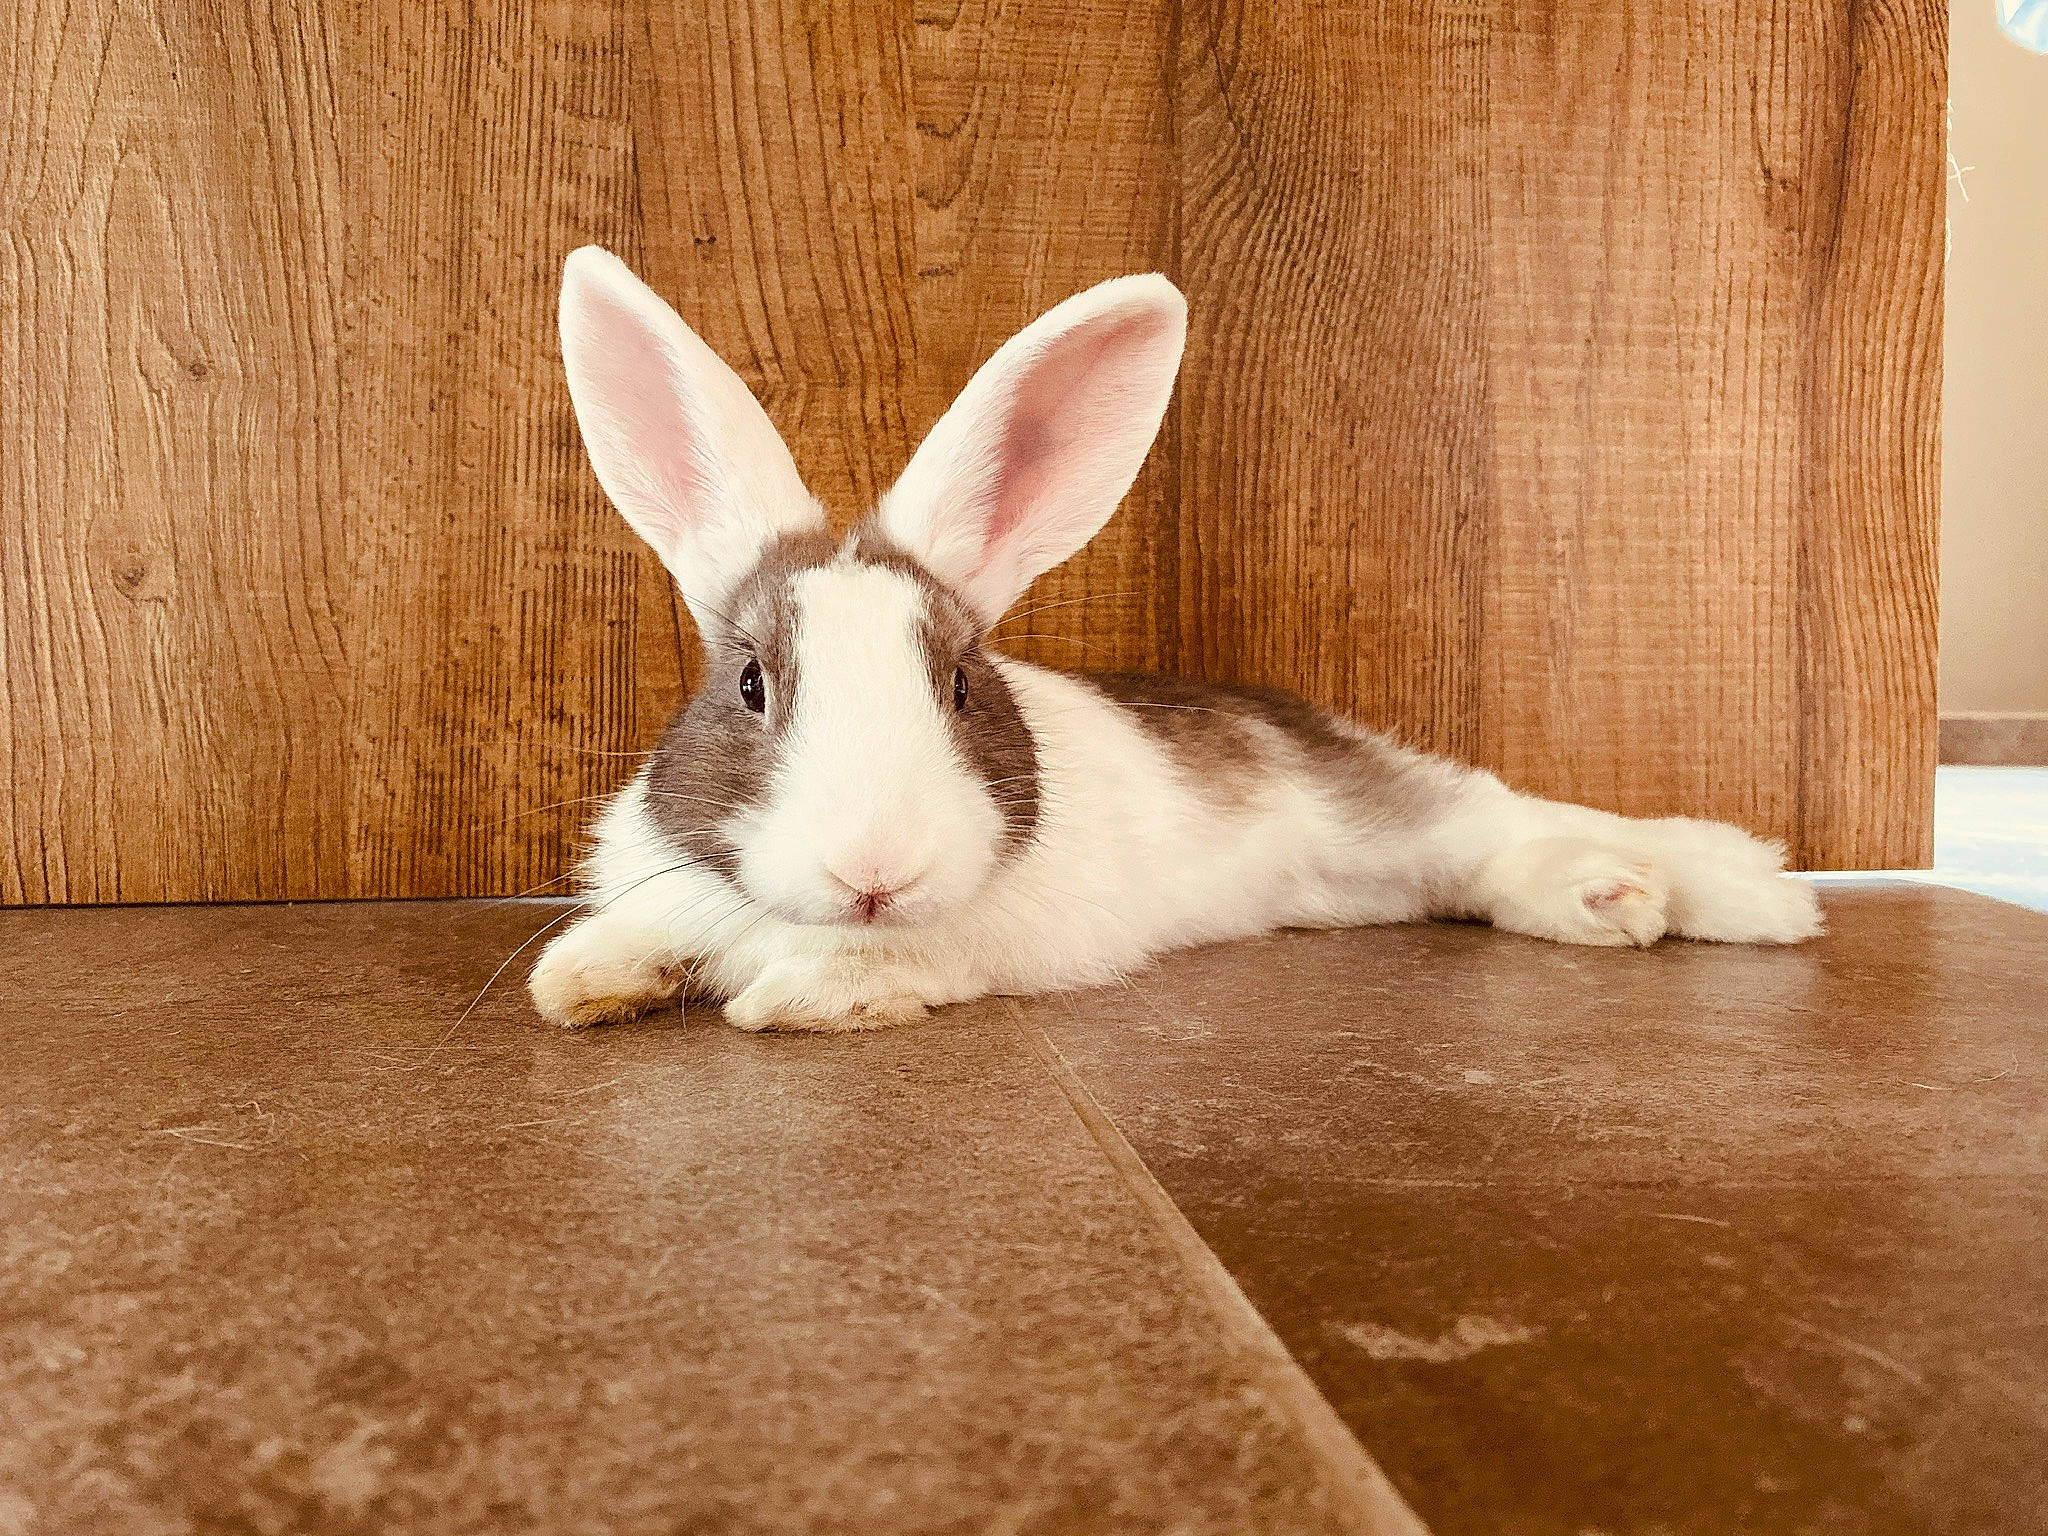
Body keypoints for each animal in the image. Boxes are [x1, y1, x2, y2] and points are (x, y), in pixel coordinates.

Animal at [527, 247, 1824, 1033]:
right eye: (750, 684)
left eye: (959, 686)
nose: (873, 872)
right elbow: (640, 935)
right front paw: (580, 978)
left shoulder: (1012, 938)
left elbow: (889, 968)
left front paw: (801, 996)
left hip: (1383, 808)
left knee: (1508, 819)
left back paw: (1716, 889)